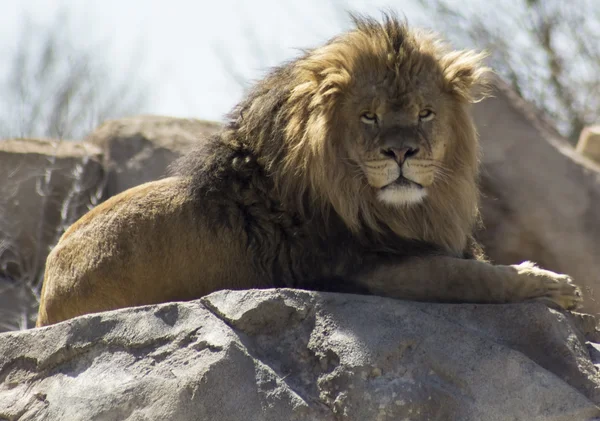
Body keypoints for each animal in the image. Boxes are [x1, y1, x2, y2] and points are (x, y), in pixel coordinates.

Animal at [35, 14, 580, 326]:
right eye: (369, 116)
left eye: (426, 113)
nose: (401, 153)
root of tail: (43, 300)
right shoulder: (363, 270)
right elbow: (472, 278)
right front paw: (553, 283)